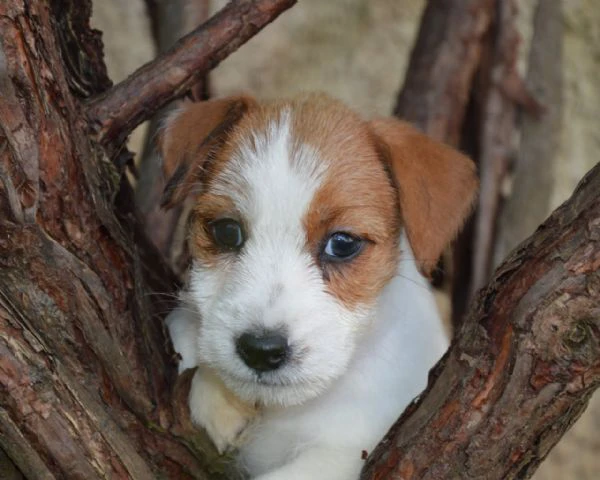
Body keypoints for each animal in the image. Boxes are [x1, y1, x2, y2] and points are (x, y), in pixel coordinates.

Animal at [161, 92, 478, 478]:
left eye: (341, 244)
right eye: (226, 231)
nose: (261, 351)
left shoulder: (343, 454)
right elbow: (184, 326)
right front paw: (218, 395)